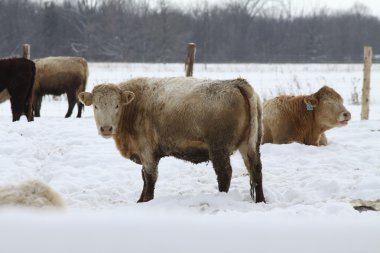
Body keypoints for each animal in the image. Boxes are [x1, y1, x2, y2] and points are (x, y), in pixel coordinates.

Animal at [79, 77, 266, 204]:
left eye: (117, 105)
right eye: (95, 106)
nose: (106, 128)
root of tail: (236, 83)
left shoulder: (148, 153)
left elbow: (149, 178)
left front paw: (145, 201)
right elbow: (144, 177)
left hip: (219, 149)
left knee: (225, 174)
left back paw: (221, 197)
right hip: (249, 145)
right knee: (256, 170)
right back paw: (260, 200)